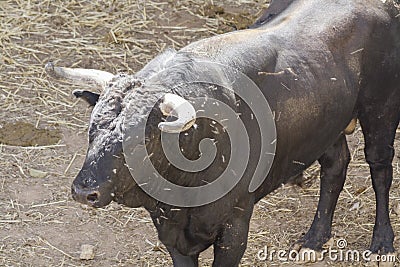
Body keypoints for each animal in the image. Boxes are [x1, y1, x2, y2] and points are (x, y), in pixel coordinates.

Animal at [47, 1, 400, 266]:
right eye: (92, 130)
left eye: (138, 140)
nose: (84, 191)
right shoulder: (169, 231)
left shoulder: (234, 228)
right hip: (326, 122)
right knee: (335, 164)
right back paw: (314, 239)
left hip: (381, 110)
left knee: (380, 169)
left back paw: (382, 243)